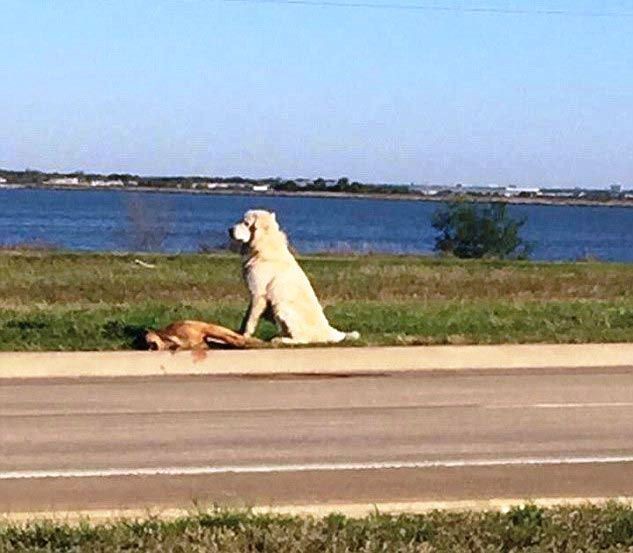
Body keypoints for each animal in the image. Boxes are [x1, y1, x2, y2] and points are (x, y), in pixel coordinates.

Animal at [228, 211, 358, 344]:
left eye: (246, 223)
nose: (230, 230)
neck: (264, 245)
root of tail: (329, 331)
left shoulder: (258, 293)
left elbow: (250, 320)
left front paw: (245, 336)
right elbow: (246, 317)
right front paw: (238, 333)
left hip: (281, 306)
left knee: (302, 339)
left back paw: (280, 340)